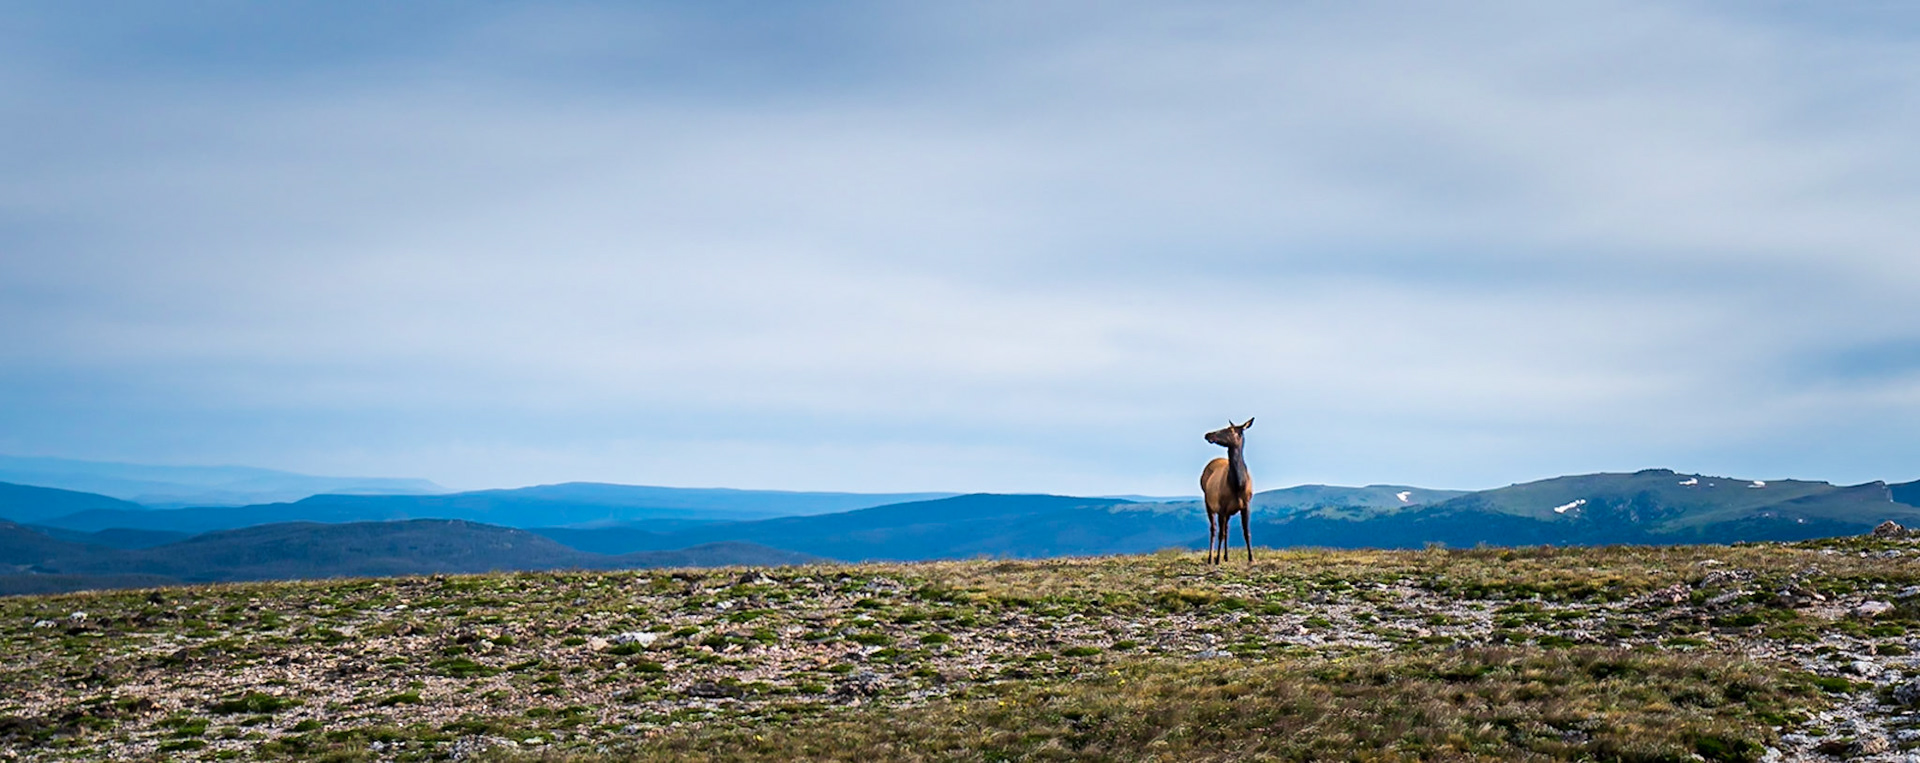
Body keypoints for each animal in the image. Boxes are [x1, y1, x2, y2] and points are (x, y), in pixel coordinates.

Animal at [1201, 418, 1255, 564]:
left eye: (1229, 430)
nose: (1208, 434)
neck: (1238, 485)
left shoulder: (1246, 505)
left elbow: (1246, 532)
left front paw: (1251, 557)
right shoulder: (1222, 507)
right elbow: (1220, 534)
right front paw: (1217, 559)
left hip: (1228, 512)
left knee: (1226, 529)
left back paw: (1226, 556)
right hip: (1208, 504)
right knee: (1214, 529)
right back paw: (1211, 558)